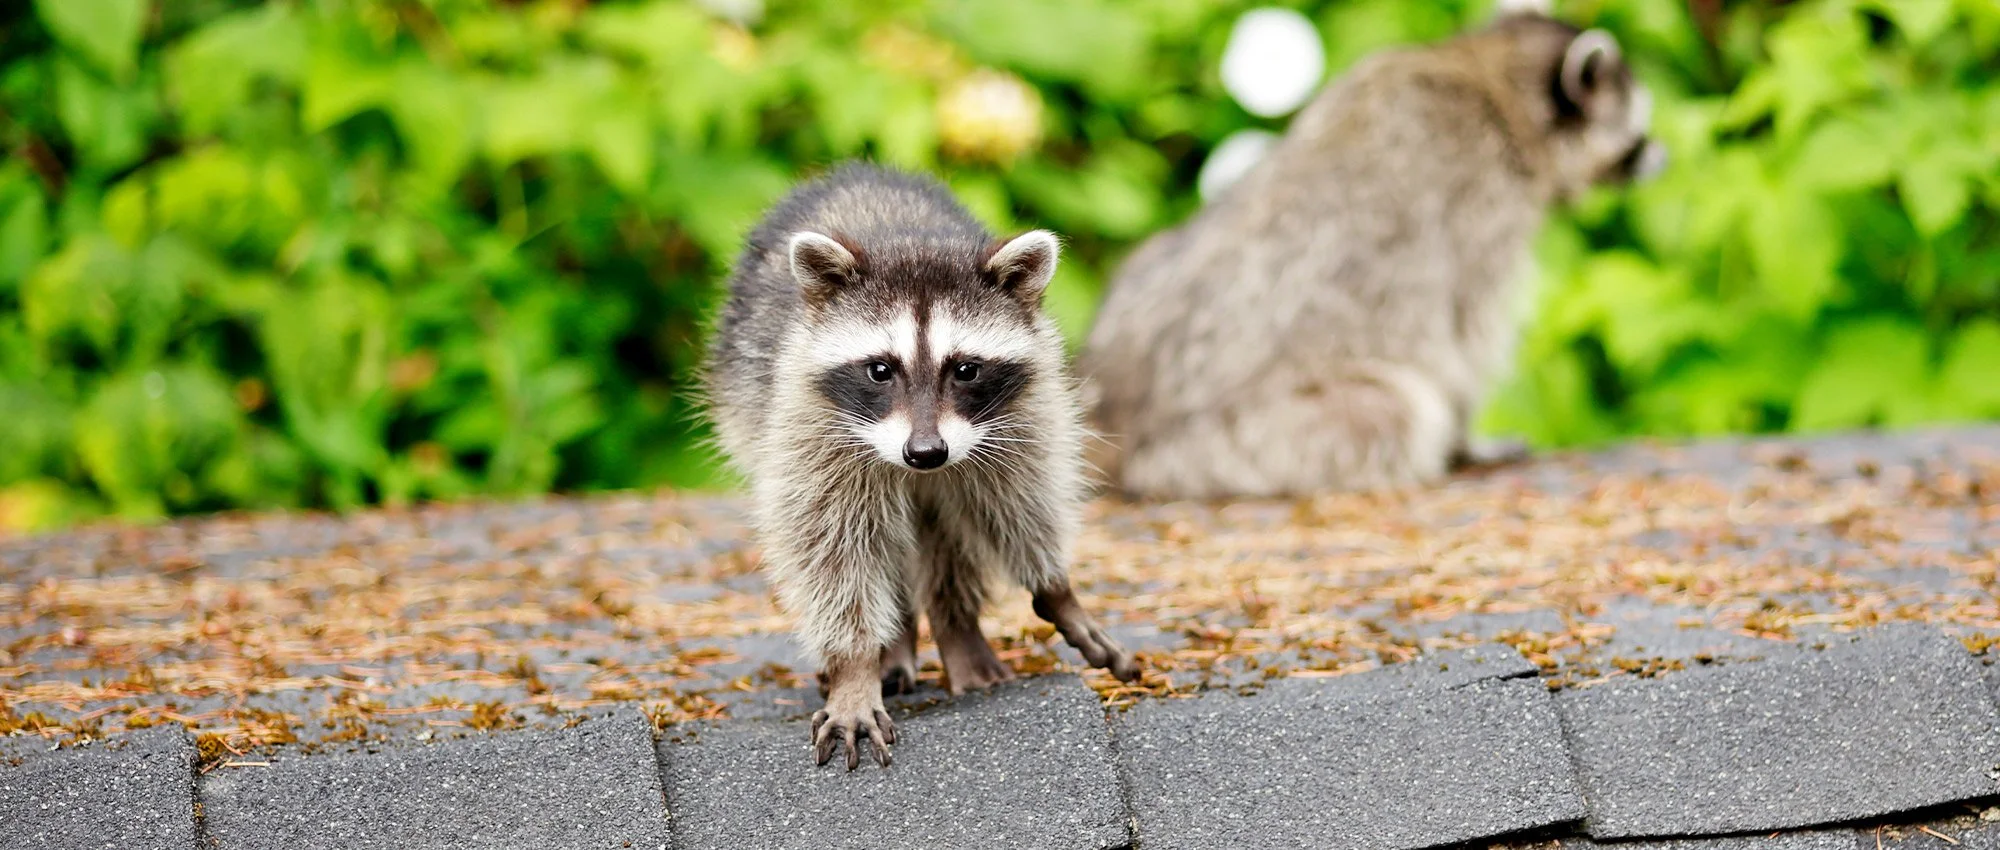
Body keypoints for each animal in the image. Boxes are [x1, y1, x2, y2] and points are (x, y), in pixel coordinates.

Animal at [705, 164, 1140, 770]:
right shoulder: (807, 427)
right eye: (880, 369)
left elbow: (1020, 500)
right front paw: (855, 668)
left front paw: (1057, 591)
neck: (910, 238)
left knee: (947, 535)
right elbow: (828, 548)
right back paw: (895, 646)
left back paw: (957, 630)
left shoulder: (1021, 418)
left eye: (966, 369)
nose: (926, 453)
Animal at [1081, 9, 1665, 500]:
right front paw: (1467, 438)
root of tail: (1118, 425)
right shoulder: (1482, 208)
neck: (1485, 73)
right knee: (1399, 411)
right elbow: (1463, 338)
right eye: (1638, 131)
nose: (1662, 155)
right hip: (1238, 440)